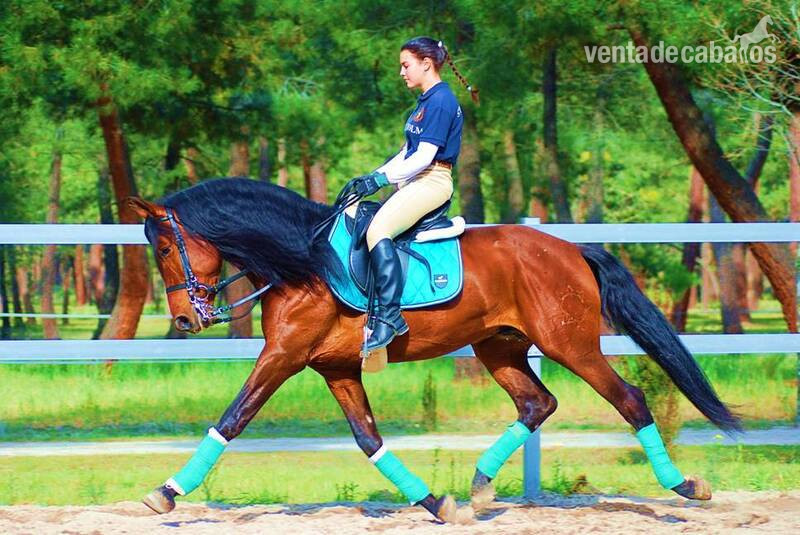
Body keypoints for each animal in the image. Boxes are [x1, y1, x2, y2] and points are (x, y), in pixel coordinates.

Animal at [128, 178, 739, 522]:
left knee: (630, 399)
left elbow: (231, 419)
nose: (185, 319)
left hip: (570, 345)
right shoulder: (336, 368)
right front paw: (435, 503)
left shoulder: (283, 357)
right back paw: (481, 487)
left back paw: (686, 487)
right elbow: (369, 440)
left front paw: (165, 493)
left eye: (165, 248)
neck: (304, 263)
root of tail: (568, 249)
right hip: (500, 349)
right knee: (537, 404)